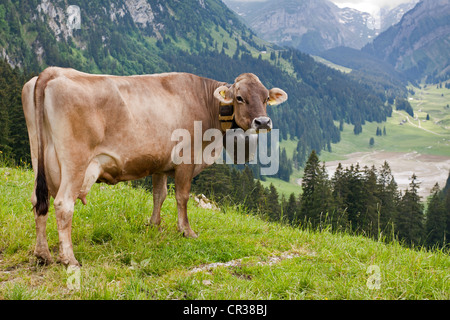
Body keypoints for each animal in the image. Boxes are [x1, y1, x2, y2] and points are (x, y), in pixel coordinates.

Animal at [21, 68, 286, 268]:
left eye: (265, 98)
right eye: (240, 98)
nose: (263, 122)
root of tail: (52, 72)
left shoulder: (160, 162)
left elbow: (160, 194)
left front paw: (154, 225)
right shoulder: (186, 159)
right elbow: (182, 197)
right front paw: (186, 231)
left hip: (38, 157)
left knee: (38, 200)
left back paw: (42, 254)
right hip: (75, 162)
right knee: (63, 204)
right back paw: (69, 259)